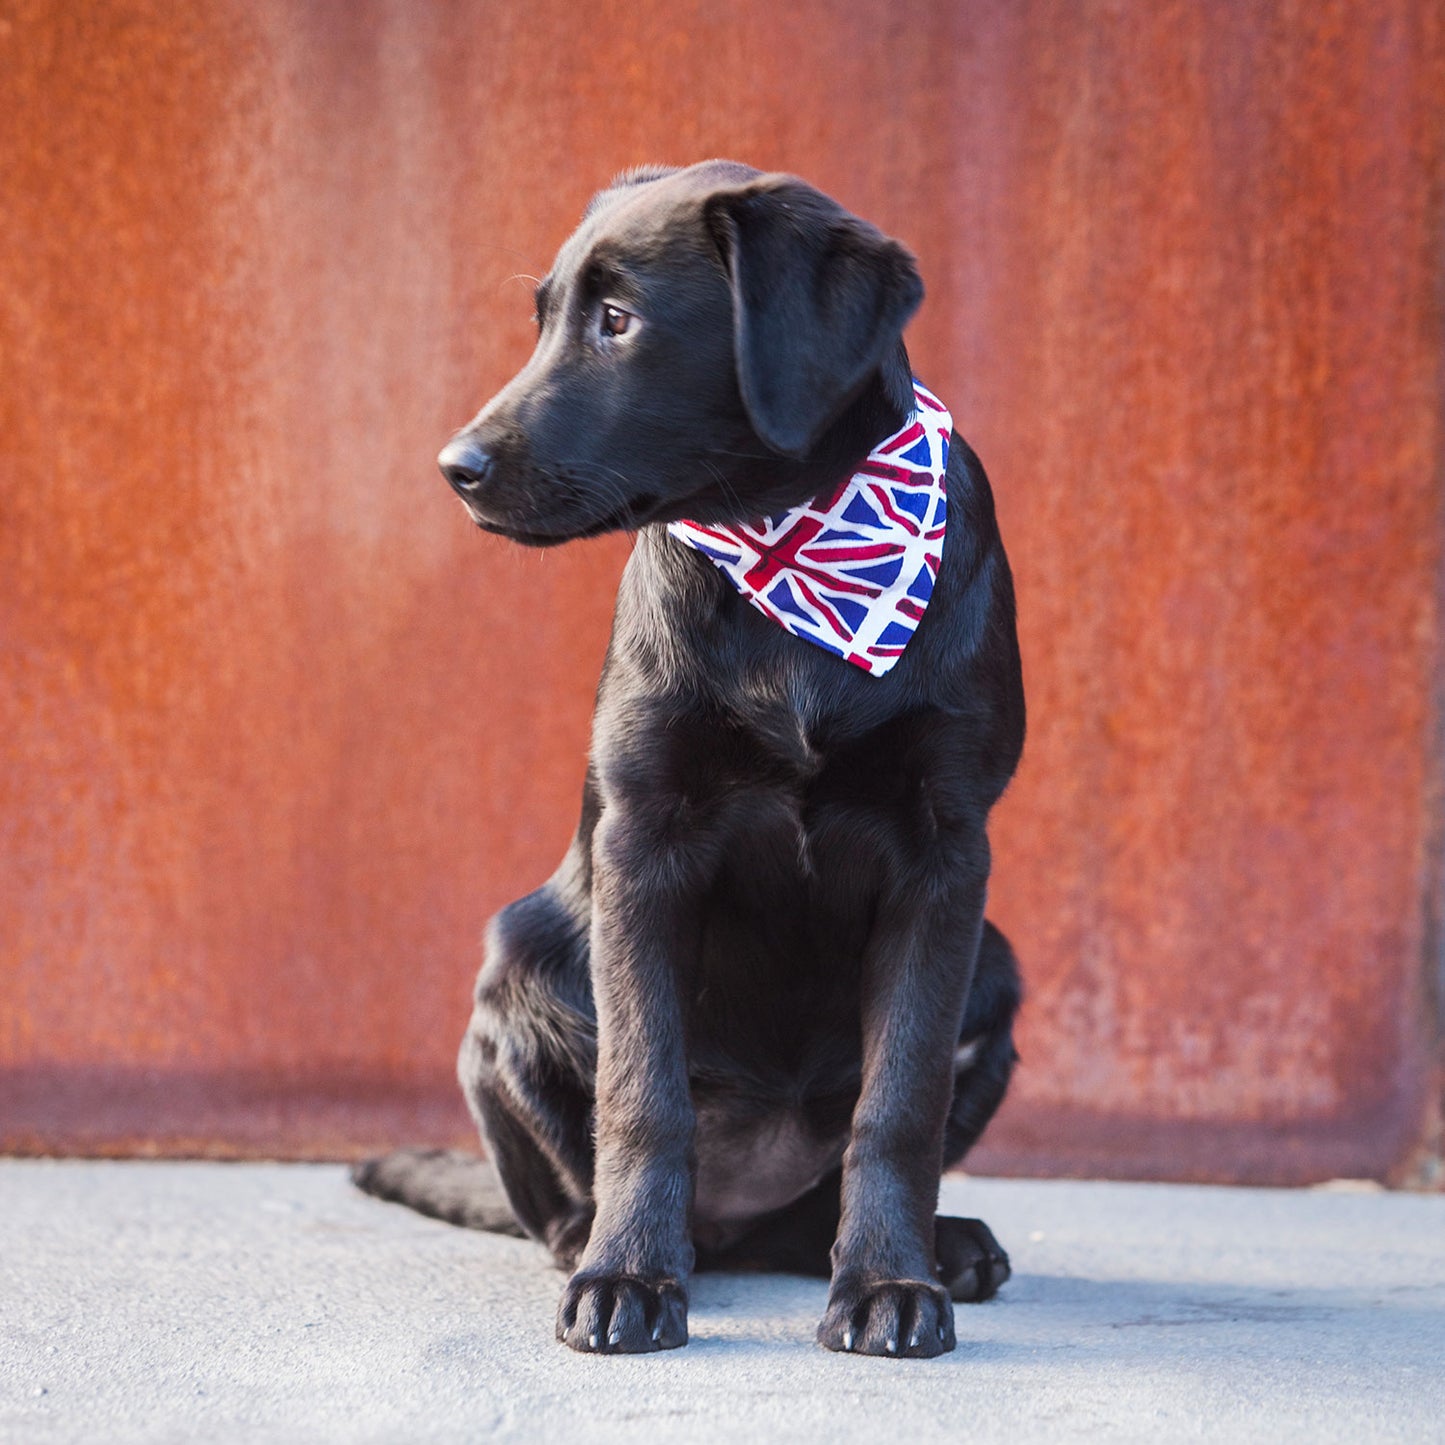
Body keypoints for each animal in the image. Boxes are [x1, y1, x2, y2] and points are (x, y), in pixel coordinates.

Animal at [354, 158, 1023, 1352]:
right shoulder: (644, 836)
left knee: (819, 1203)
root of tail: (739, 1222)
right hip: (516, 964)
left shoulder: (946, 853)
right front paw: (628, 1274)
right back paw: (605, 1241)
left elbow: (899, 1103)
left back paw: (930, 1245)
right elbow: (642, 1089)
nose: (453, 466)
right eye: (543, 318)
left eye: (618, 320)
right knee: (571, 1194)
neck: (794, 550)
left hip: (993, 963)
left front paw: (891, 1283)